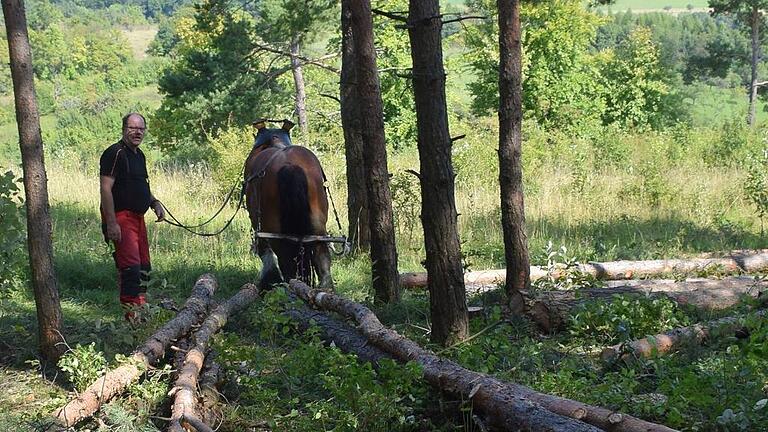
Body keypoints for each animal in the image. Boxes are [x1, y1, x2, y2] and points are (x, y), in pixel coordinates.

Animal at [243, 119, 332, 290]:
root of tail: (290, 165)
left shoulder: (257, 222)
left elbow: (265, 251)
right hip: (317, 222)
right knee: (321, 253)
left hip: (274, 229)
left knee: (286, 259)